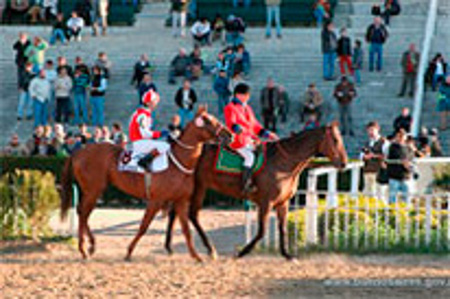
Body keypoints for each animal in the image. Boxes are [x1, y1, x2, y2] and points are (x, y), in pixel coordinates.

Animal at [59, 108, 232, 262]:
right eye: (208, 120)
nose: (229, 135)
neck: (178, 161)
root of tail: (78, 152)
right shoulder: (156, 200)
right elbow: (144, 226)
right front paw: (129, 252)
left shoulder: (181, 201)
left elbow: (186, 230)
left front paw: (196, 256)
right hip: (93, 190)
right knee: (83, 213)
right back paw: (83, 249)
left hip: (93, 190)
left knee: (82, 212)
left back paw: (91, 245)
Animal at [165, 123, 348, 262]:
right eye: (335, 140)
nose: (344, 163)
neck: (284, 162)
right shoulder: (266, 203)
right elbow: (261, 232)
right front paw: (241, 253)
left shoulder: (283, 203)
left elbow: (282, 229)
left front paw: (287, 255)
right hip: (199, 187)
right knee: (192, 214)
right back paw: (209, 249)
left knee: (176, 212)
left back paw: (169, 247)